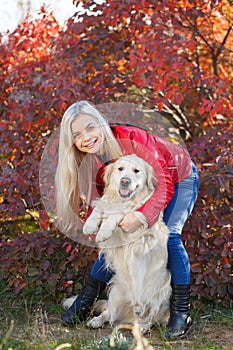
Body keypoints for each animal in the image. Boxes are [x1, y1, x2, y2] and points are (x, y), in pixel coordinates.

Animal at [82, 154, 171, 332]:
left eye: (137, 171)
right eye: (120, 169)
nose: (124, 181)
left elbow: (121, 212)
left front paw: (104, 230)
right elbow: (100, 207)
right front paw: (90, 224)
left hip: (161, 291)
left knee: (149, 317)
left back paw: (142, 326)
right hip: (116, 291)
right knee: (109, 313)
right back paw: (96, 320)